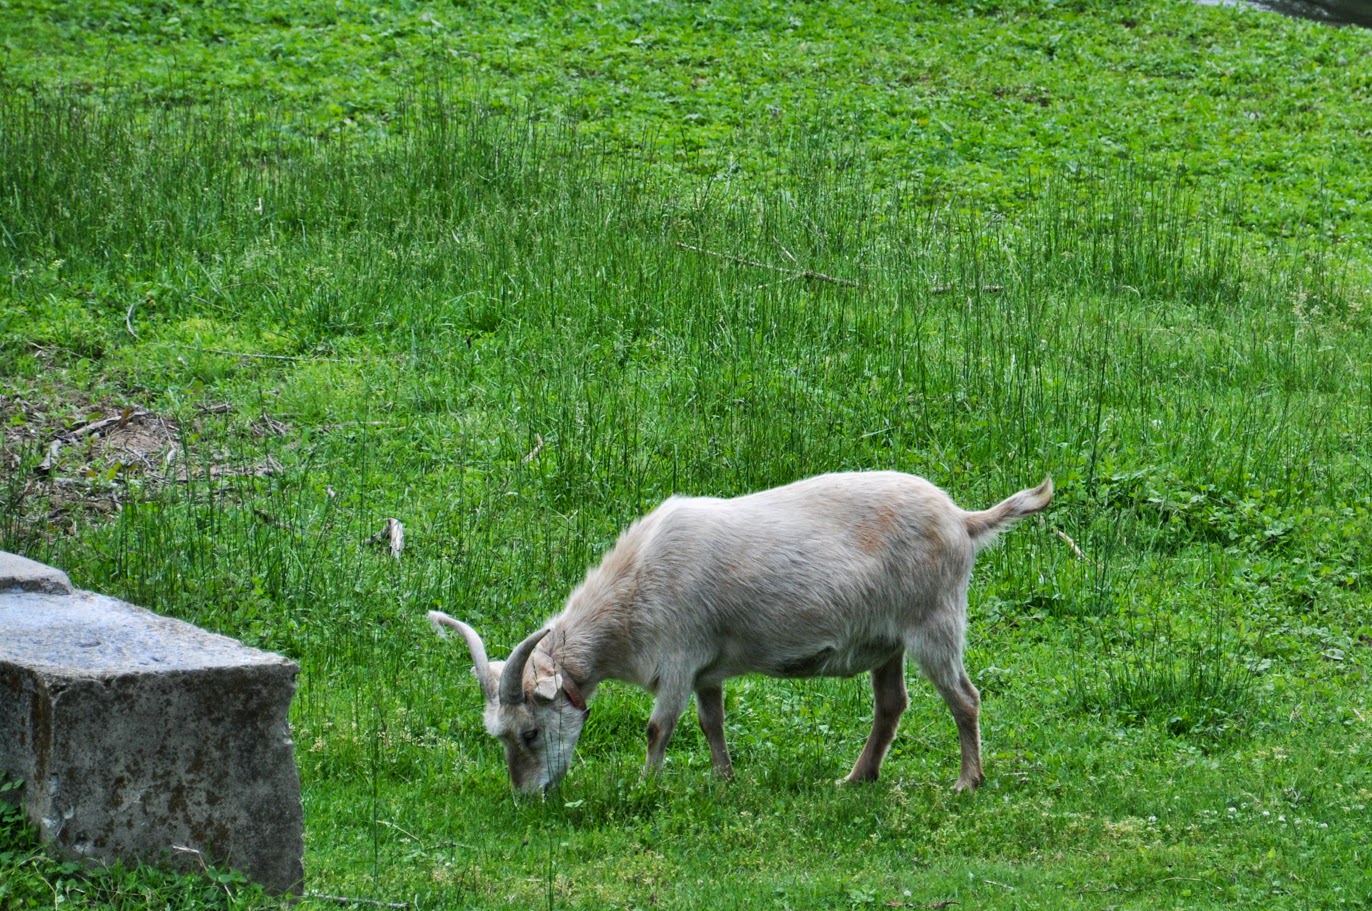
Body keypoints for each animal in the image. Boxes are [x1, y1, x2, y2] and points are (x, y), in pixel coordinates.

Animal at [430, 470, 1053, 795]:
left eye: (530, 733)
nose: (526, 796)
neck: (634, 585)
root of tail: (963, 520)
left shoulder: (677, 660)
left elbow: (658, 728)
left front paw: (647, 787)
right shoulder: (707, 670)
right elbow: (712, 722)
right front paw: (724, 779)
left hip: (934, 625)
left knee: (965, 698)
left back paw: (967, 782)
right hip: (888, 643)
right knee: (892, 705)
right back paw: (856, 778)